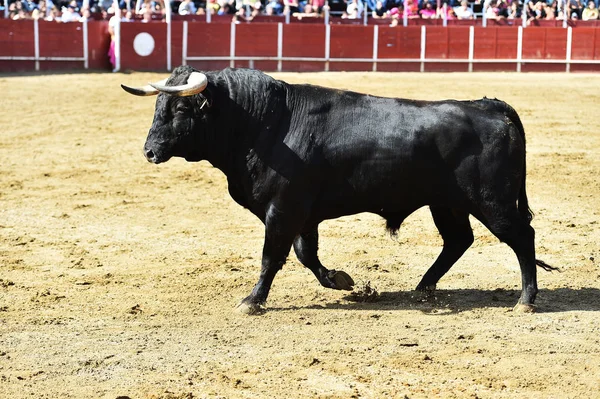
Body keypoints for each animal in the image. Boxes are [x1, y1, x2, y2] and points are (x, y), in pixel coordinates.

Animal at [123, 66, 556, 316]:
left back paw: (525, 301)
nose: (149, 151)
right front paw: (342, 281)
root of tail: (489, 105)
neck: (266, 123)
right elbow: (305, 254)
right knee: (458, 240)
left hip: (491, 201)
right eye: (157, 107)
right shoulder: (302, 214)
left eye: (181, 109)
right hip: (446, 203)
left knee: (521, 237)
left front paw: (252, 301)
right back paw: (423, 288)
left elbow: (271, 257)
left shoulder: (283, 209)